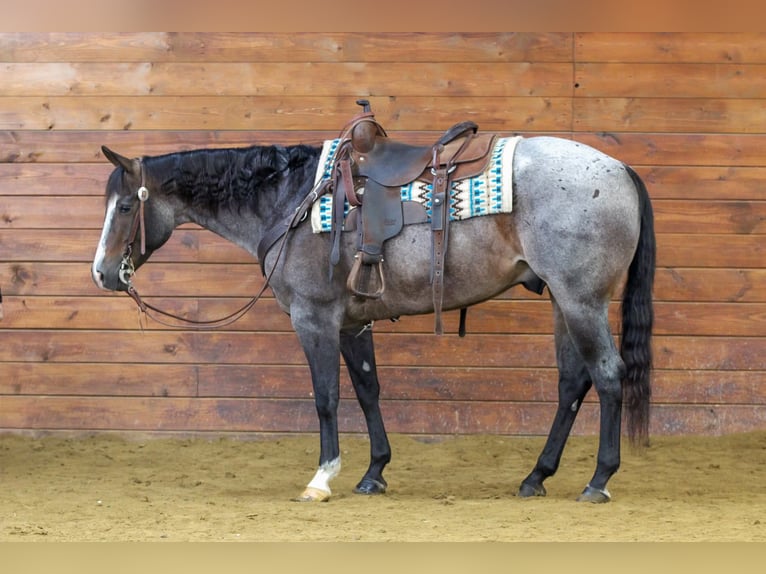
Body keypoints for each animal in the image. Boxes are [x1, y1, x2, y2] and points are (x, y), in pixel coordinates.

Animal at [91, 127, 655, 504]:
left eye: (125, 207)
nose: (101, 273)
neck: (291, 200)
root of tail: (620, 169)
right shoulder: (350, 322)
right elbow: (366, 390)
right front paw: (374, 472)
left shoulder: (313, 318)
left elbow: (326, 397)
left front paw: (322, 478)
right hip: (564, 301)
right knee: (571, 383)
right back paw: (536, 476)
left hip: (581, 300)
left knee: (607, 375)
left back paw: (598, 480)